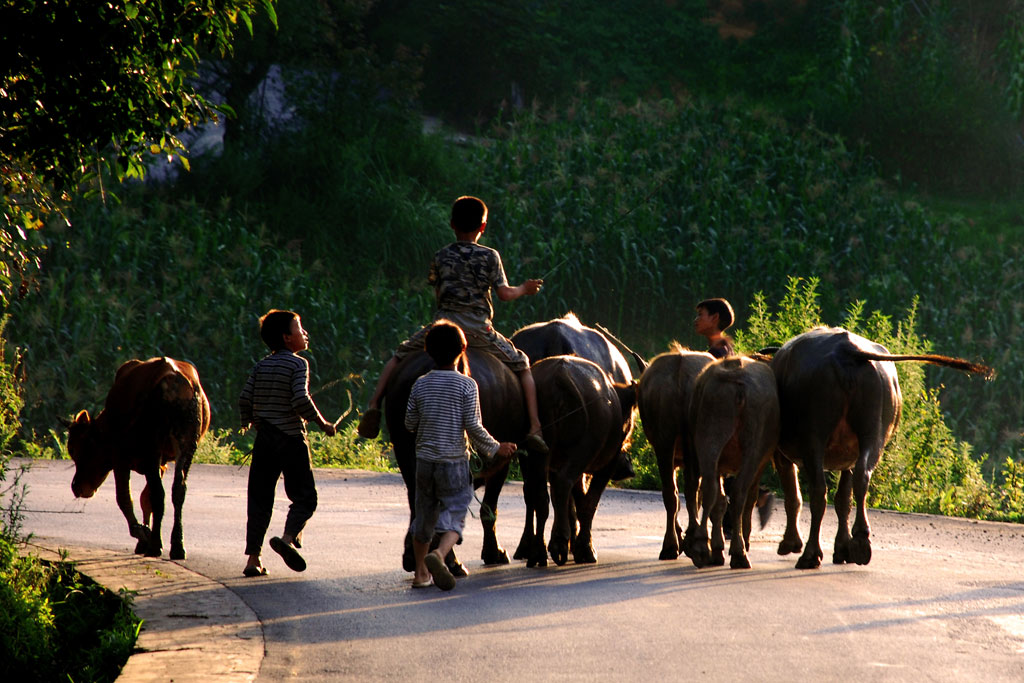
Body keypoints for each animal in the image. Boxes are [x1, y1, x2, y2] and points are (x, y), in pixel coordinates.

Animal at [67, 358, 209, 561]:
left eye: (75, 449)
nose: (76, 487)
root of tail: (172, 377)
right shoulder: (161, 464)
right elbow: (144, 498)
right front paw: (143, 538)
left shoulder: (120, 459)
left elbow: (125, 498)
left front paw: (143, 534)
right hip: (187, 443)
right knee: (178, 490)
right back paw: (177, 545)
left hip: (153, 447)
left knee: (158, 493)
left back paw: (155, 545)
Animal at [634, 344, 716, 565]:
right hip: (686, 440)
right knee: (688, 489)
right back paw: (685, 542)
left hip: (666, 441)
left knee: (674, 491)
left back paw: (675, 543)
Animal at [684, 356, 778, 569]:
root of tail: (737, 380)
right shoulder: (760, 463)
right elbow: (748, 499)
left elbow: (719, 501)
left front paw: (717, 547)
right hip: (752, 448)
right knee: (739, 494)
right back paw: (738, 552)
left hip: (711, 436)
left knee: (712, 491)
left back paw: (702, 546)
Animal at [774, 327, 991, 569]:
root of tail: (846, 351)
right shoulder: (846, 457)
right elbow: (843, 499)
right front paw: (842, 548)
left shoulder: (780, 454)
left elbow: (795, 496)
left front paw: (791, 543)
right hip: (872, 432)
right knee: (861, 477)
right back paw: (860, 542)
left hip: (815, 438)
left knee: (818, 492)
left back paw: (811, 555)